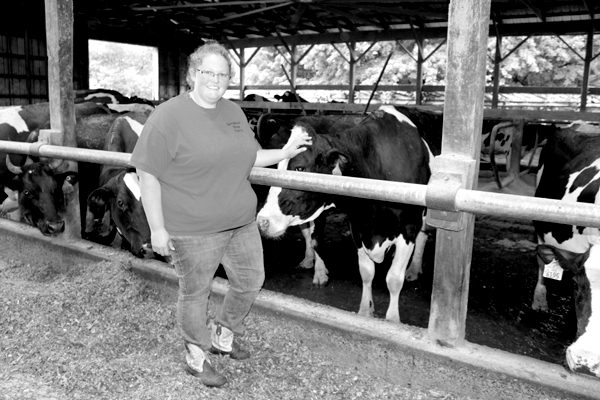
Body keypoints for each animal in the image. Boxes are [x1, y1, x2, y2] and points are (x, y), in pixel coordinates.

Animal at [255, 105, 434, 322]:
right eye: (275, 166)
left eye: (299, 168)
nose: (262, 221)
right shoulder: (358, 226)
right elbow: (366, 272)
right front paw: (364, 311)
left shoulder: (408, 228)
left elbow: (393, 279)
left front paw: (392, 321)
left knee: (423, 236)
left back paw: (413, 270)